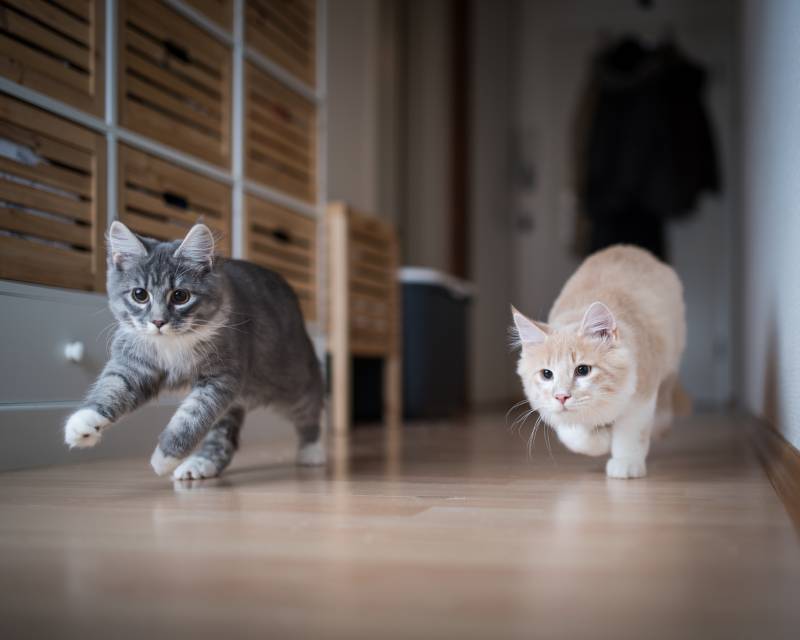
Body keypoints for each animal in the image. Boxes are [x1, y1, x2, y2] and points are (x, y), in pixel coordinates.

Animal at [63, 222, 324, 478]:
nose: (158, 322)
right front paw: (83, 422)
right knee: (222, 438)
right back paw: (200, 464)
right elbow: (113, 386)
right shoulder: (134, 363)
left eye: (180, 296)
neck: (172, 343)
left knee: (311, 405)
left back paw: (312, 450)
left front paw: (165, 457)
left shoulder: (221, 377)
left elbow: (192, 416)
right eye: (140, 295)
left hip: (290, 380)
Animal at [512, 245, 688, 480]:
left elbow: (631, 433)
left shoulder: (641, 392)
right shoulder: (549, 410)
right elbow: (575, 435)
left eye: (583, 370)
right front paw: (601, 439)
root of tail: (628, 248)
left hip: (671, 355)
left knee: (666, 395)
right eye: (547, 374)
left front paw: (626, 462)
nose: (561, 397)